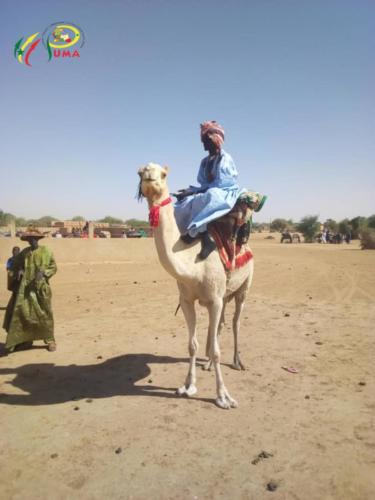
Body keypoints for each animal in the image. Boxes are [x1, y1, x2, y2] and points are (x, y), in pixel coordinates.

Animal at [140, 164, 258, 410]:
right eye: (139, 172)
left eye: (163, 174)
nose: (149, 178)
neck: (194, 264)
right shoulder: (187, 300)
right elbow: (192, 345)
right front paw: (187, 386)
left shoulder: (214, 300)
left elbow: (216, 350)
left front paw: (223, 397)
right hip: (224, 295)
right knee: (220, 325)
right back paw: (208, 365)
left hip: (244, 288)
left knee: (236, 322)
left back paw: (237, 361)